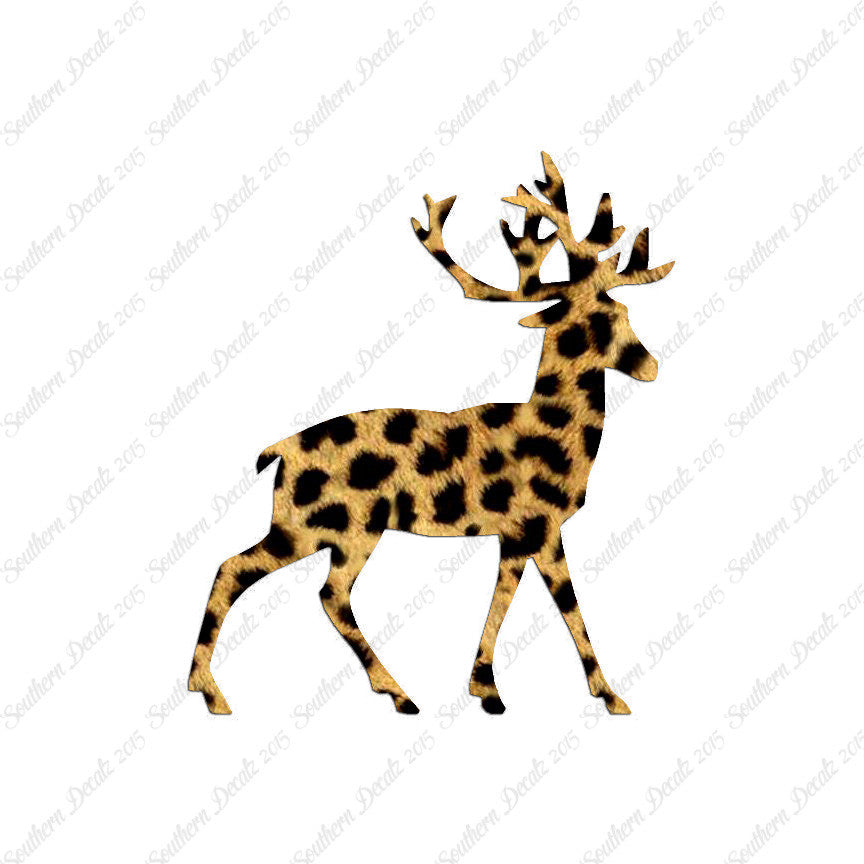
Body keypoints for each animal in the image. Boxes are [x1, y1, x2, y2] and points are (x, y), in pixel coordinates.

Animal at [189, 152, 674, 716]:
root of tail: (276, 453)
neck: (558, 435)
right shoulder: (540, 524)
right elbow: (568, 605)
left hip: (342, 532)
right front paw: (609, 695)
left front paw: (486, 688)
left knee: (323, 591)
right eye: (593, 321)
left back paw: (392, 692)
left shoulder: (516, 535)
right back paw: (214, 691)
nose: (651, 366)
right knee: (244, 572)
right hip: (321, 525)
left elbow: (505, 596)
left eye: (623, 311)